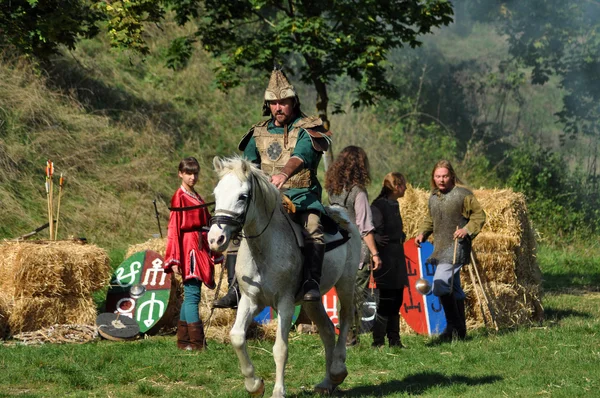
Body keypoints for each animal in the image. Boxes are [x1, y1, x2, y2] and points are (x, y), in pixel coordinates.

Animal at [209, 157, 358, 396]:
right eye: (216, 194)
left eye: (242, 196)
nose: (215, 239)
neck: (263, 249)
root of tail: (342, 216)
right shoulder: (251, 301)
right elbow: (237, 337)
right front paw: (254, 384)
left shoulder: (285, 303)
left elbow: (280, 348)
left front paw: (278, 391)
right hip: (311, 300)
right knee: (327, 329)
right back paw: (328, 382)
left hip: (346, 283)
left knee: (344, 318)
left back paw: (337, 370)